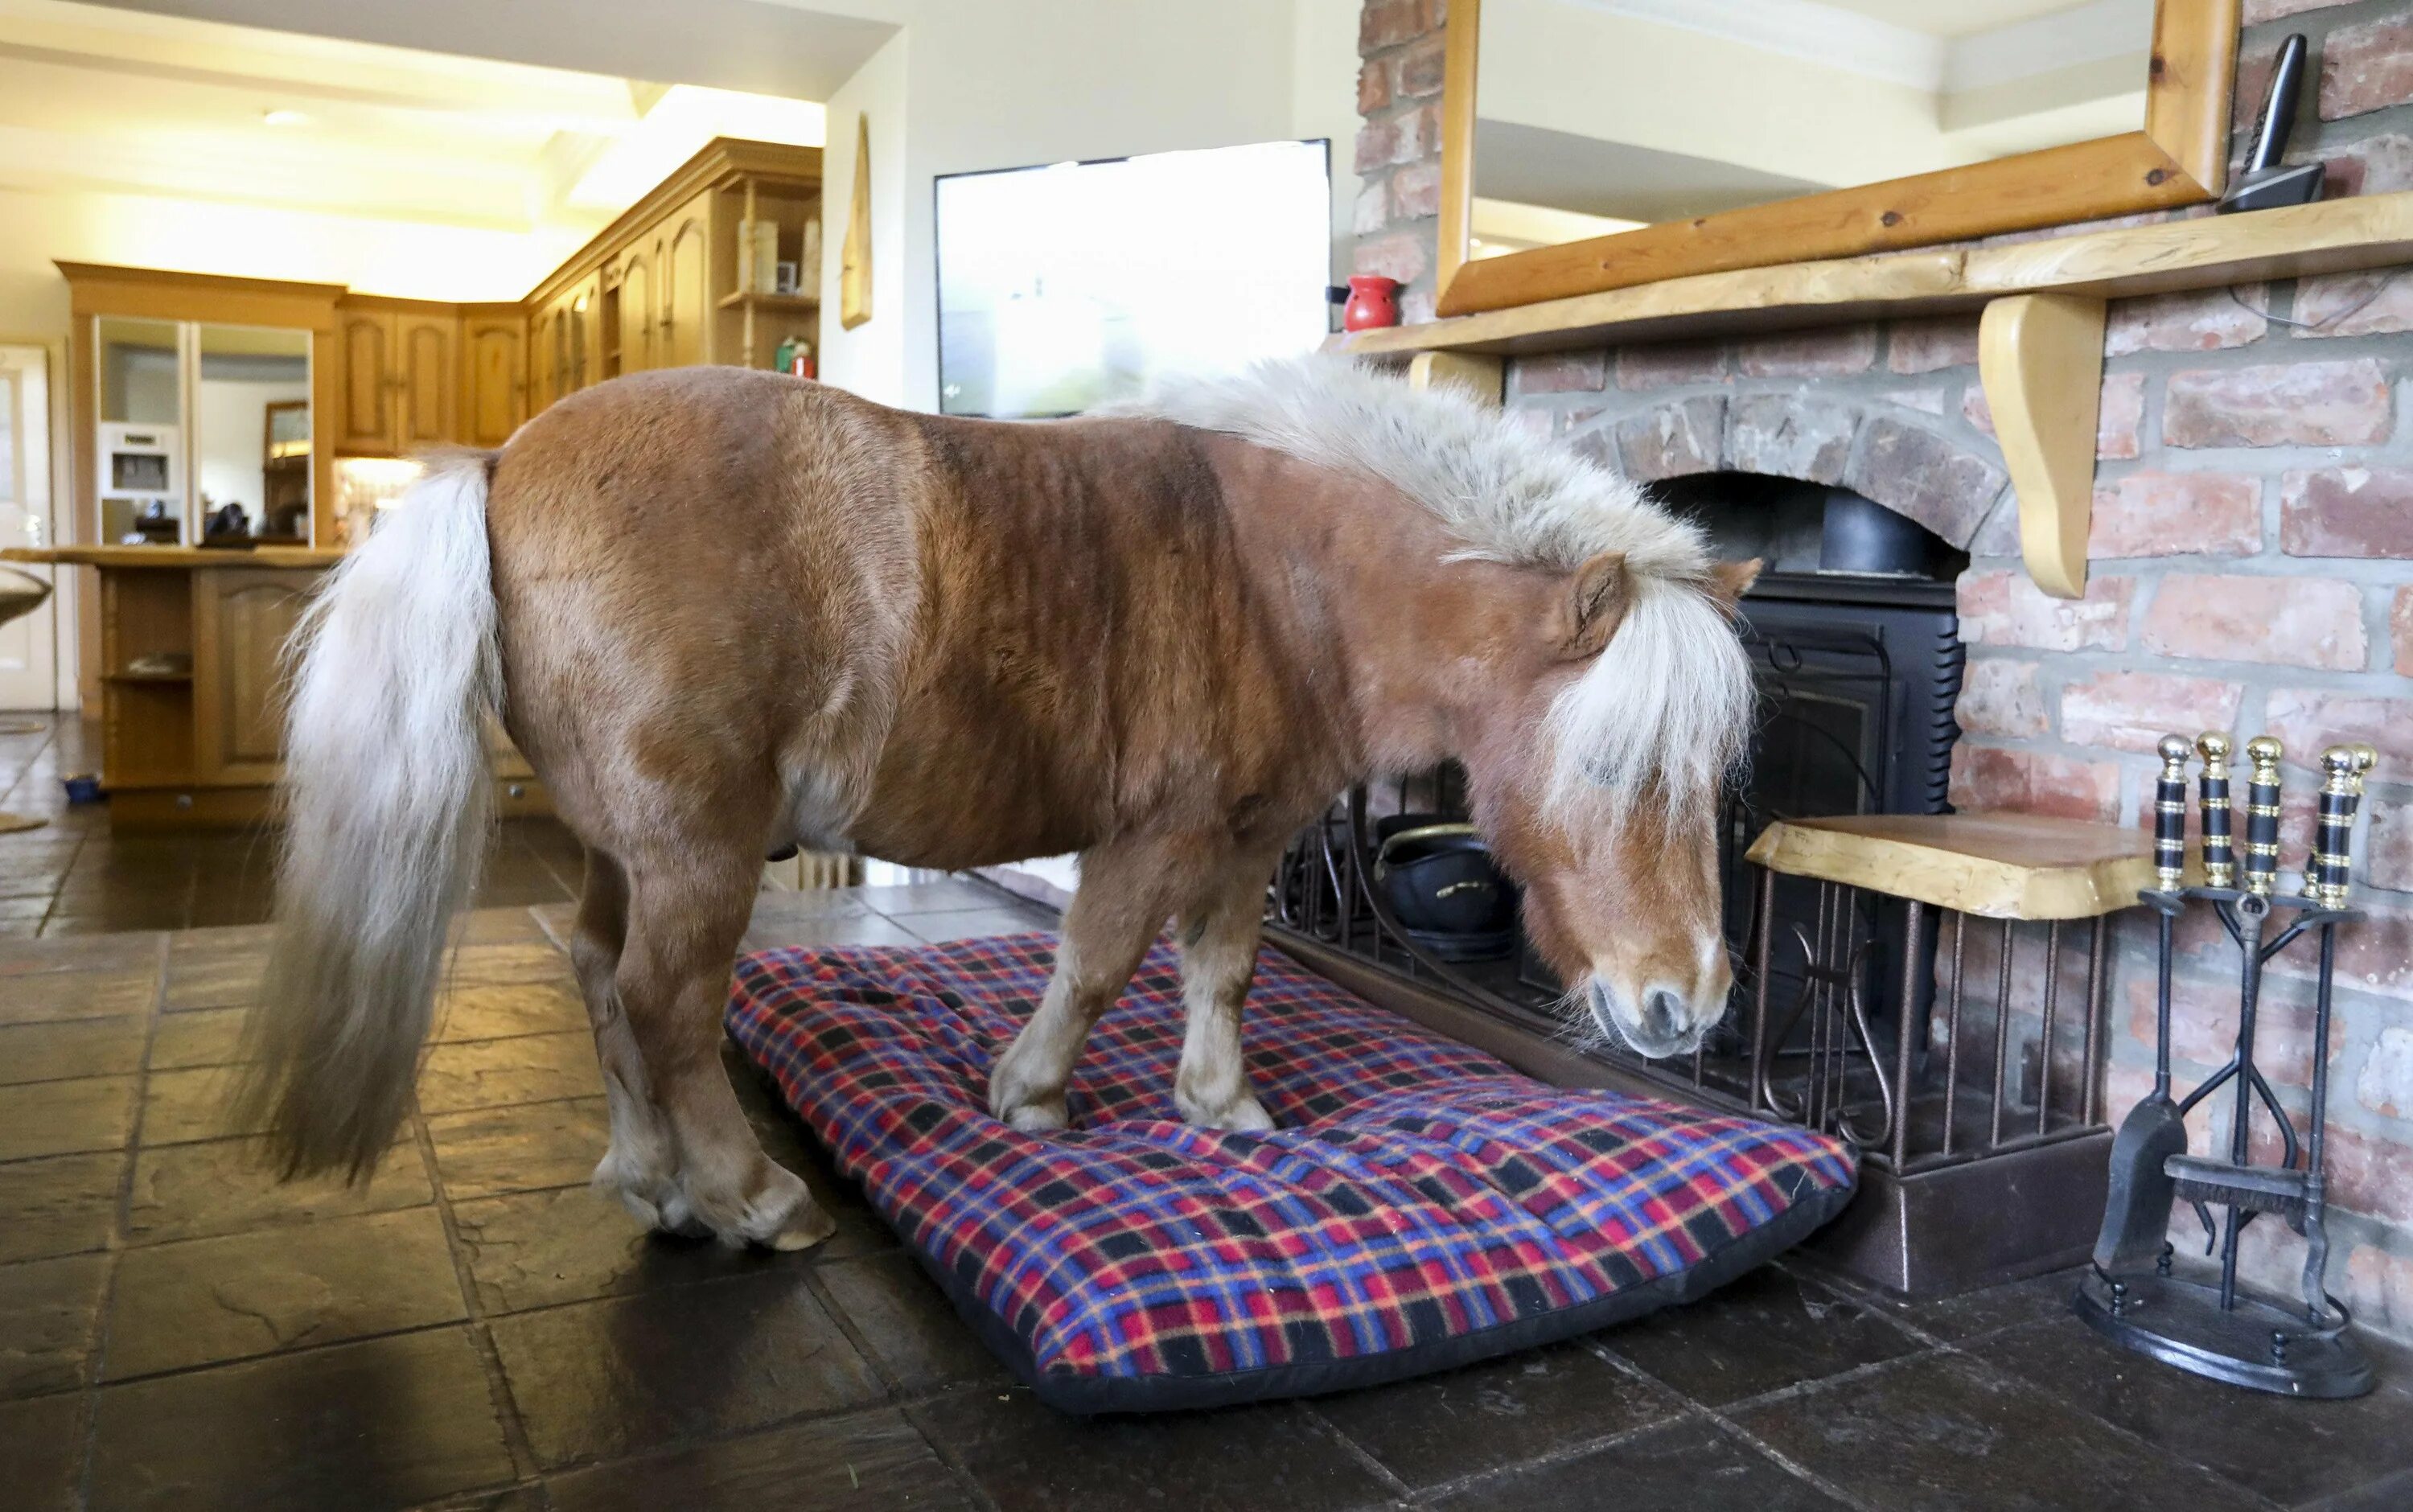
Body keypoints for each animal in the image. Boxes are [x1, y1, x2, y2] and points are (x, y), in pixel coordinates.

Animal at [235, 356, 1766, 1254]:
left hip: (630, 850)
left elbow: (1222, 971)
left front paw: (1222, 1106)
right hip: (699, 855)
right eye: (1615, 768)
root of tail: (500, 464)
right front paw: (1029, 1097)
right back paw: (749, 1198)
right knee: (667, 1005)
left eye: (1709, 779)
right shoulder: (1158, 835)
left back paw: (656, 1182)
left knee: (605, 980)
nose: (1687, 1004)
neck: (1288, 575)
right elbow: (1094, 964)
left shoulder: (1250, 836)